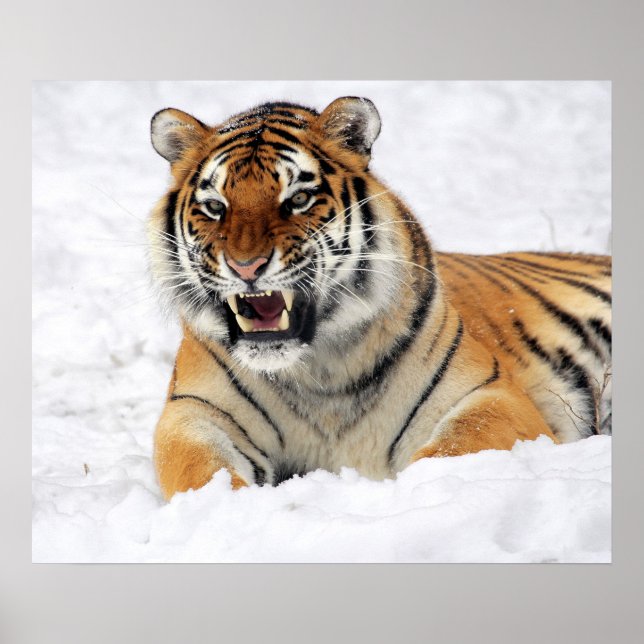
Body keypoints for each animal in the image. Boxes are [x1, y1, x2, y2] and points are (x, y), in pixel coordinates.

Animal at [148, 97, 612, 500]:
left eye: (298, 199)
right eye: (215, 206)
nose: (246, 267)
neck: (318, 371)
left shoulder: (489, 393)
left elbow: (455, 447)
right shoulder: (194, 411)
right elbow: (200, 470)